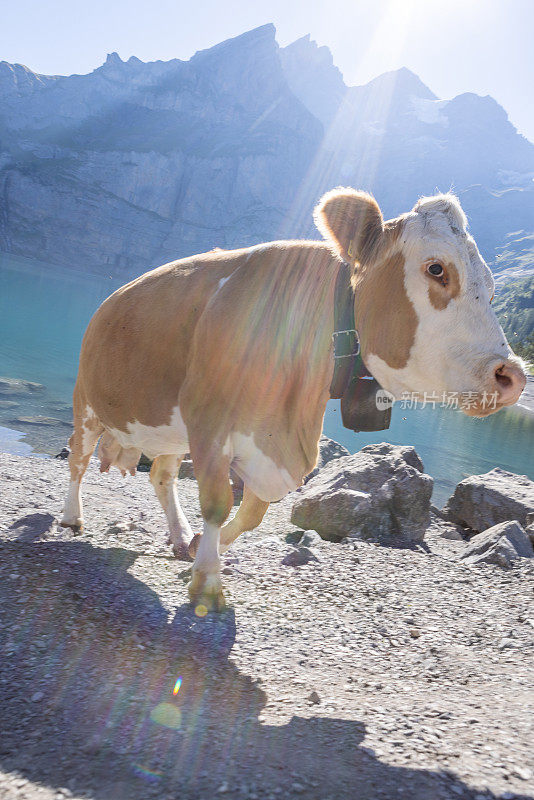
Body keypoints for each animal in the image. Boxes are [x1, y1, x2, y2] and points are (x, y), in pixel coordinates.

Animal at [61, 191, 528, 608]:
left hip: (169, 427)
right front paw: (208, 581)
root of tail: (111, 300)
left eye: (491, 287)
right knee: (78, 458)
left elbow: (251, 514)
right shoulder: (209, 421)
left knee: (162, 475)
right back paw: (71, 517)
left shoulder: (271, 445)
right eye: (436, 269)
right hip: (87, 399)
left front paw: (198, 552)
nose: (514, 376)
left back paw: (177, 537)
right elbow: (217, 503)